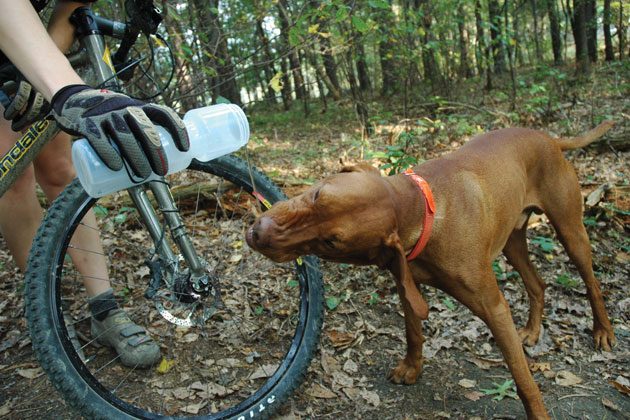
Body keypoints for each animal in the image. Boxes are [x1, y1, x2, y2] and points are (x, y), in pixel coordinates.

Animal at [246, 120, 616, 416]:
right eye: (317, 195)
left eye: (331, 243)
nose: (257, 232)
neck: (420, 211)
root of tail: (550, 139)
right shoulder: (405, 283)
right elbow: (413, 331)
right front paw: (412, 367)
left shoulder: (494, 307)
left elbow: (522, 377)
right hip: (512, 242)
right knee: (538, 284)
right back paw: (534, 330)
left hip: (570, 231)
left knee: (591, 281)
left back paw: (603, 332)